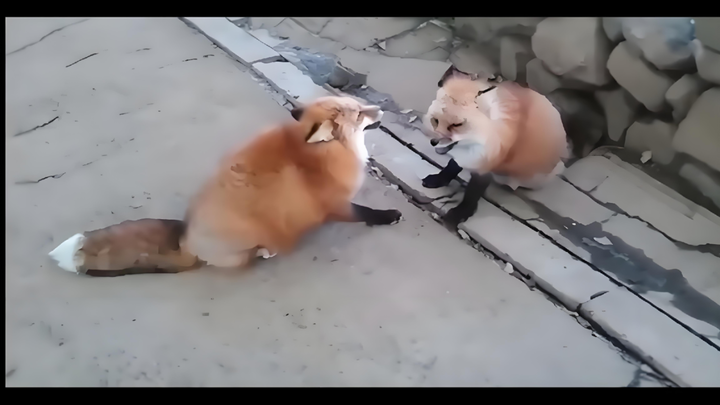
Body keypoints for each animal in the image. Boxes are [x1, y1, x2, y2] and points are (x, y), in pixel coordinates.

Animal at [48, 96, 403, 277]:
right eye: (360, 114)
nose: (383, 109)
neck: (319, 154)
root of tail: (188, 238)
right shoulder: (335, 205)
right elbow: (365, 214)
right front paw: (388, 216)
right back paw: (265, 252)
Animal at [421, 66, 568, 228]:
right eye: (435, 120)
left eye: (457, 125)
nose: (433, 141)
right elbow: (451, 167)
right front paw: (438, 180)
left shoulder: (485, 165)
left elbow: (472, 194)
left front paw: (460, 214)